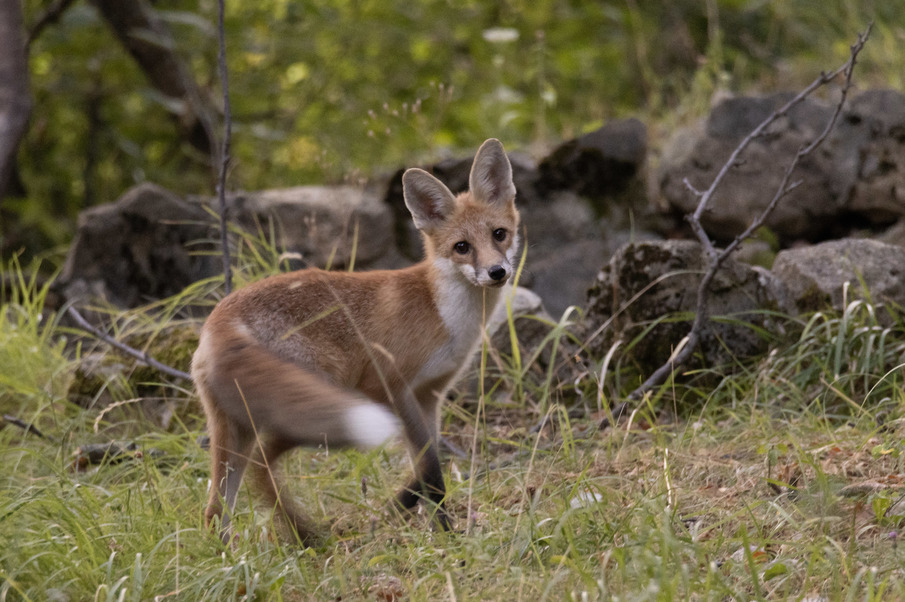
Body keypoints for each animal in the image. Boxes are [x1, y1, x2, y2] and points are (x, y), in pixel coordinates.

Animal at [192, 138, 516, 540]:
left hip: (239, 427)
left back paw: (234, 548)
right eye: (462, 247)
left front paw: (413, 518)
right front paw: (436, 529)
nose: (497, 272)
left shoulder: (430, 396)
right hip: (313, 406)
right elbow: (429, 469)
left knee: (217, 505)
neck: (442, 312)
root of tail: (219, 318)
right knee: (261, 464)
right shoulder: (388, 387)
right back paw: (306, 535)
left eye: (499, 234)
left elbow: (426, 470)